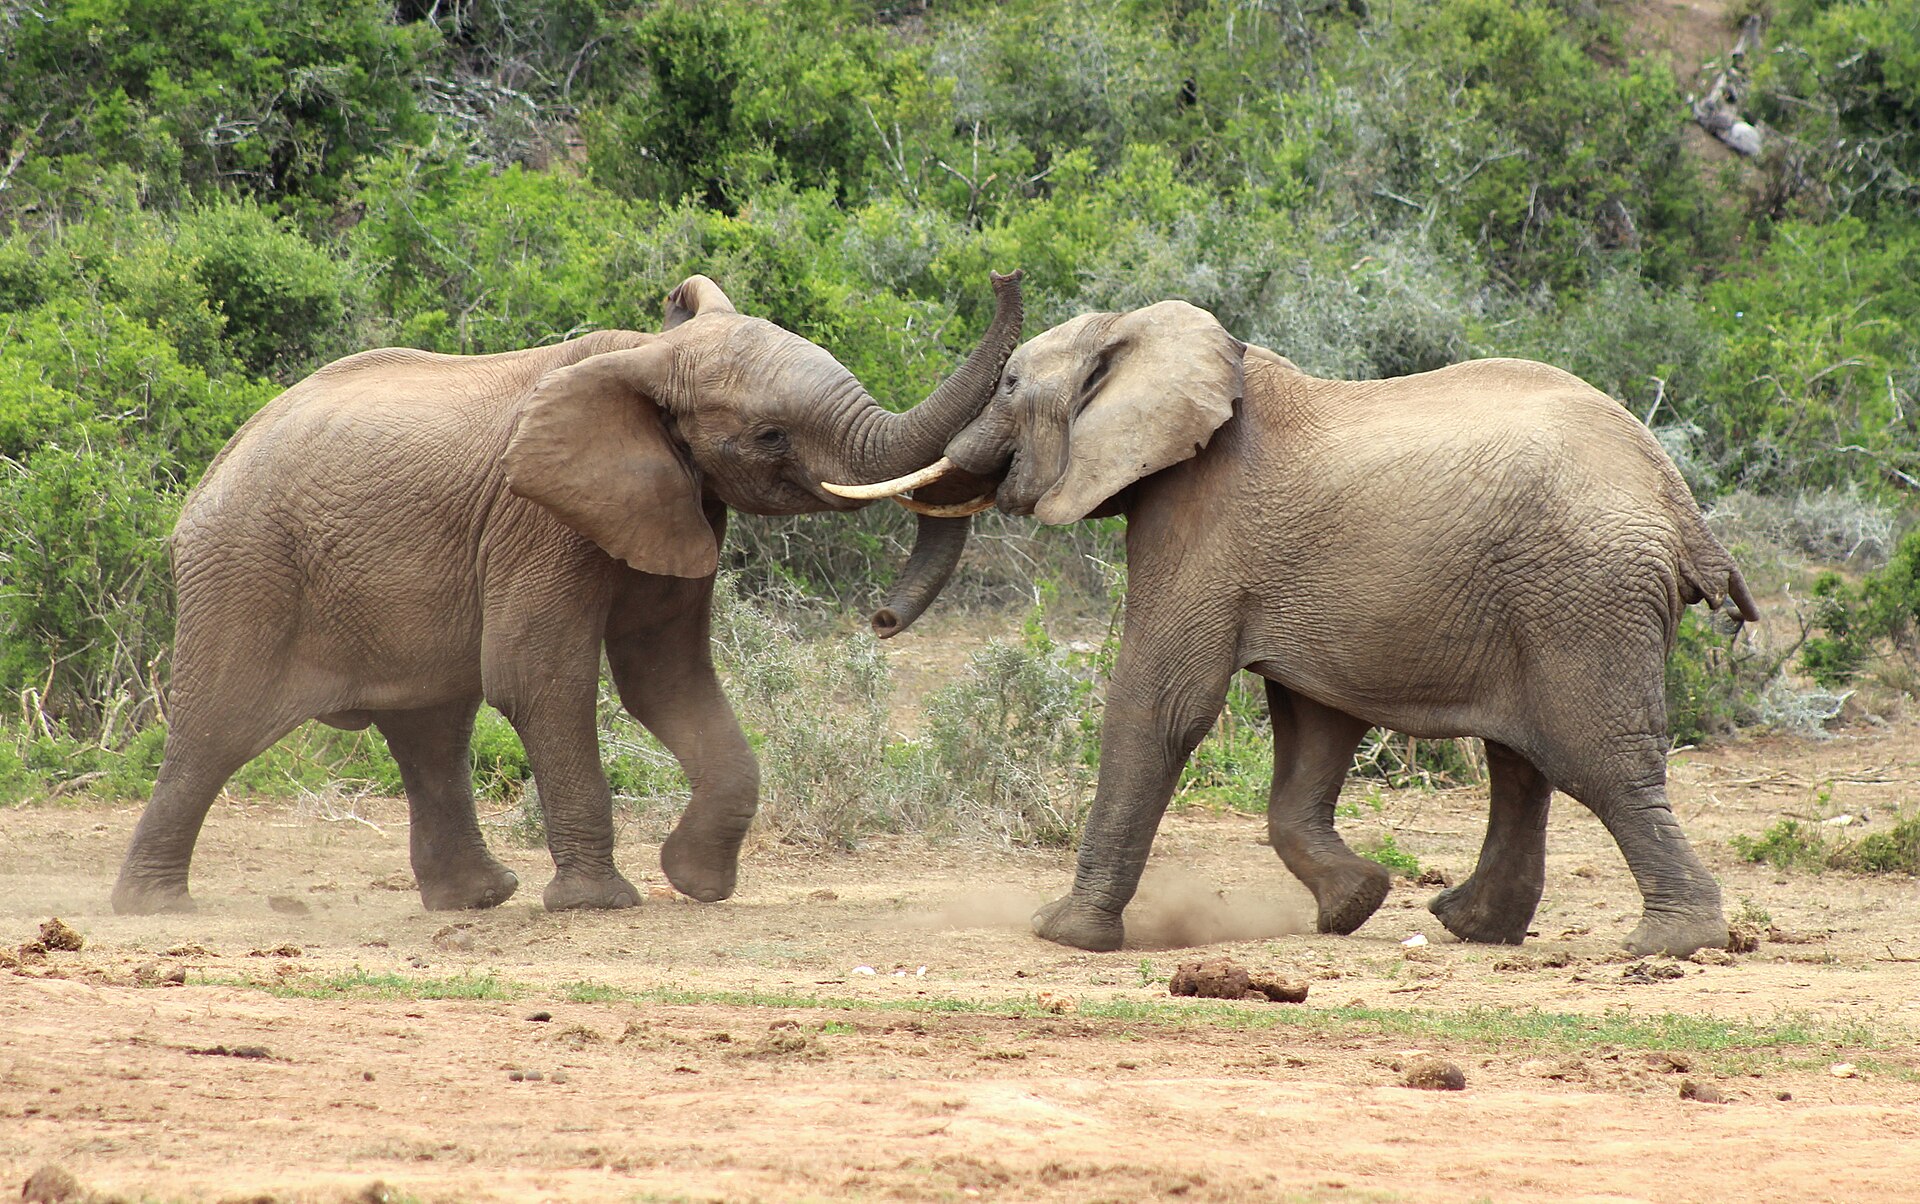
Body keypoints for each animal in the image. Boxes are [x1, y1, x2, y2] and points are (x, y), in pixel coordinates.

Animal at [111, 270, 1024, 916]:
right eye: (770, 436)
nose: (882, 618)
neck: (644, 359)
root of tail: (212, 474)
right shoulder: (536, 518)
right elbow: (538, 677)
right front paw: (600, 904)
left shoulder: (677, 503)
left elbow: (667, 679)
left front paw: (696, 884)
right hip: (246, 570)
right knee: (217, 730)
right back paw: (155, 907)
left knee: (430, 731)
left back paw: (478, 900)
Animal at [837, 299, 1756, 958]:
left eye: (1008, 386)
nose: (878, 621)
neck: (1148, 337)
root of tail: (1677, 501)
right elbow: (1314, 725)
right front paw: (1354, 905)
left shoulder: (1200, 520)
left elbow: (1160, 705)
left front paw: (1062, 932)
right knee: (1522, 763)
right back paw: (1471, 927)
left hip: (1583, 593)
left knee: (1599, 762)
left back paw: (1671, 941)